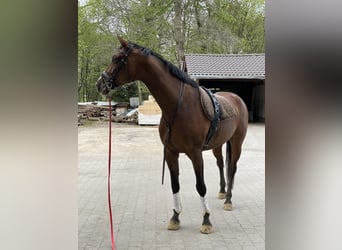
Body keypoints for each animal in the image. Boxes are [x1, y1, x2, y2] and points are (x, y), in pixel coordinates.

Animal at [96, 36, 248, 233]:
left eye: (117, 58)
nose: (100, 84)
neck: (179, 105)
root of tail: (237, 99)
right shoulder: (170, 152)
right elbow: (175, 184)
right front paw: (175, 217)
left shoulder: (195, 154)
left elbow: (201, 186)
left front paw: (206, 220)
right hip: (218, 144)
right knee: (221, 164)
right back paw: (222, 192)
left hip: (237, 143)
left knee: (232, 167)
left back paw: (228, 199)